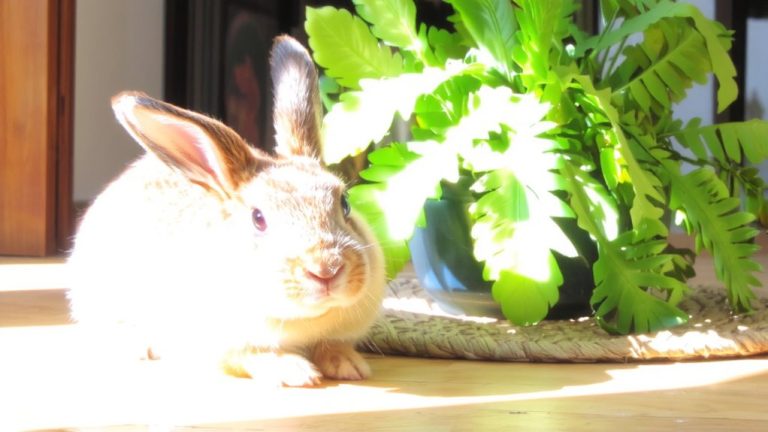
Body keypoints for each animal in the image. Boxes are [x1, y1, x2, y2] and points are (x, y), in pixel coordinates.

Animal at [67, 35, 386, 387]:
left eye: (344, 204)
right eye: (258, 218)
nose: (326, 268)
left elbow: (332, 344)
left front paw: (349, 365)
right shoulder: (219, 346)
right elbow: (249, 357)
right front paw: (295, 372)